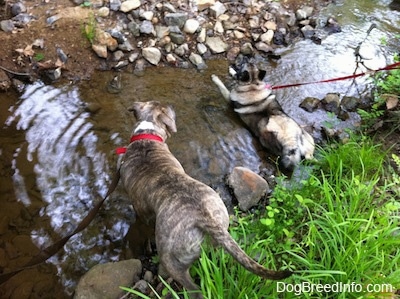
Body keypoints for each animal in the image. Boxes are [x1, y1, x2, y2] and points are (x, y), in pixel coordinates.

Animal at [119, 102, 290, 298]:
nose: (171, 105)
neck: (147, 133)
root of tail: (203, 217)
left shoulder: (141, 211)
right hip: (219, 233)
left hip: (172, 259)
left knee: (192, 287)